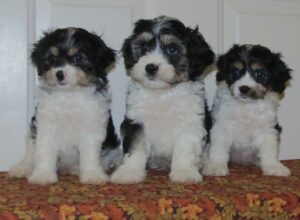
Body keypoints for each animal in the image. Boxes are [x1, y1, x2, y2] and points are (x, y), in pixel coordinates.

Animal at [9, 27, 122, 185]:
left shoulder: (92, 125)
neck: (69, 94)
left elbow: (90, 153)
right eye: (52, 58)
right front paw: (43, 175)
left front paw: (92, 175)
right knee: (30, 154)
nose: (59, 74)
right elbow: (45, 150)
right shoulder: (45, 123)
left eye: (78, 58)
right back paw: (22, 168)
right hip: (32, 131)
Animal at [110, 16, 216, 183]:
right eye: (144, 47)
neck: (162, 93)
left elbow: (185, 147)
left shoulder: (190, 121)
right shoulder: (136, 120)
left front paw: (184, 172)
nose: (150, 67)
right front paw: (129, 172)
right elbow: (135, 146)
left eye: (172, 49)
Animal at [203, 43, 292, 176]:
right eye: (235, 71)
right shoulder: (222, 125)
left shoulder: (268, 128)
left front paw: (274, 166)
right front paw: (216, 166)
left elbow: (269, 148)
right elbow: (219, 147)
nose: (244, 88)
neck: (247, 105)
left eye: (259, 74)